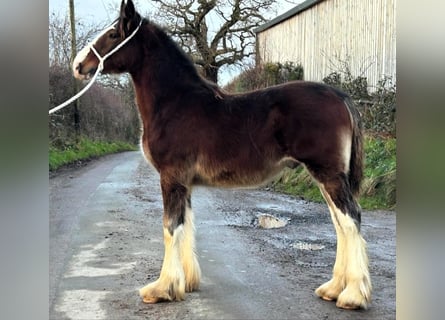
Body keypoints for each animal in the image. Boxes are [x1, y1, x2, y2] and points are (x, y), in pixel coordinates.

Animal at [73, 0, 372, 310]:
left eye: (113, 34)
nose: (78, 65)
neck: (175, 103)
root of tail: (341, 97)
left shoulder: (171, 177)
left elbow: (170, 228)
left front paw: (162, 288)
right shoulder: (184, 182)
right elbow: (186, 225)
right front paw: (186, 283)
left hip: (328, 174)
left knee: (350, 220)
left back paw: (352, 295)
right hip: (327, 176)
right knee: (340, 223)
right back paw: (334, 288)